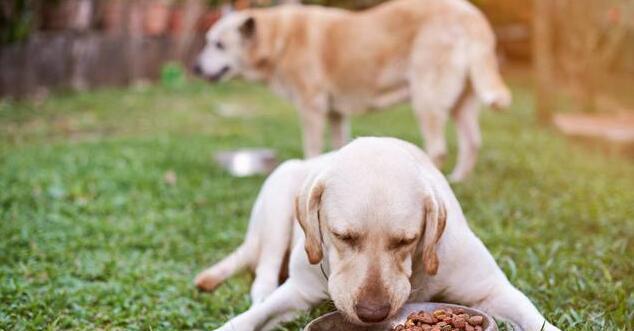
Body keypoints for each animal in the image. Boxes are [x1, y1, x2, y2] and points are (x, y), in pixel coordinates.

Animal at [194, 137, 556, 331]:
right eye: (342, 236)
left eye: (407, 240)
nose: (373, 314)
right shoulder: (298, 292)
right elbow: (252, 317)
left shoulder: (491, 289)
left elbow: (533, 317)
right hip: (278, 195)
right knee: (264, 274)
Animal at [195, 0, 512, 182]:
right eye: (208, 41)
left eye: (219, 45)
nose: (196, 68)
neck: (280, 38)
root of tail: (472, 15)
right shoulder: (336, 113)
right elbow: (338, 147)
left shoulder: (311, 107)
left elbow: (311, 148)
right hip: (461, 102)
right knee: (472, 142)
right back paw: (459, 179)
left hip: (426, 98)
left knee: (437, 149)